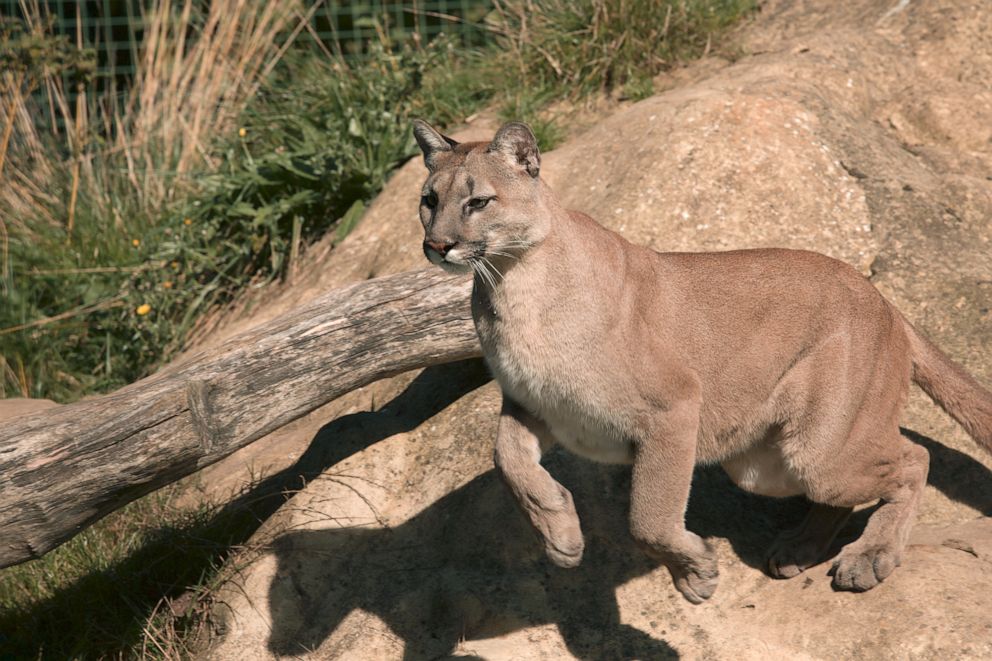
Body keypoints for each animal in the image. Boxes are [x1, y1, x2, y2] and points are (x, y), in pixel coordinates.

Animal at [408, 120, 984, 604]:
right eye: (429, 200)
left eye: (478, 201)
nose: (437, 245)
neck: (512, 284)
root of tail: (883, 298)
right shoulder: (534, 404)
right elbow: (506, 459)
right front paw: (560, 534)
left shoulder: (673, 408)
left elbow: (649, 516)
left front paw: (695, 573)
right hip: (763, 467)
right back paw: (799, 548)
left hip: (820, 452)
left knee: (912, 461)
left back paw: (870, 556)